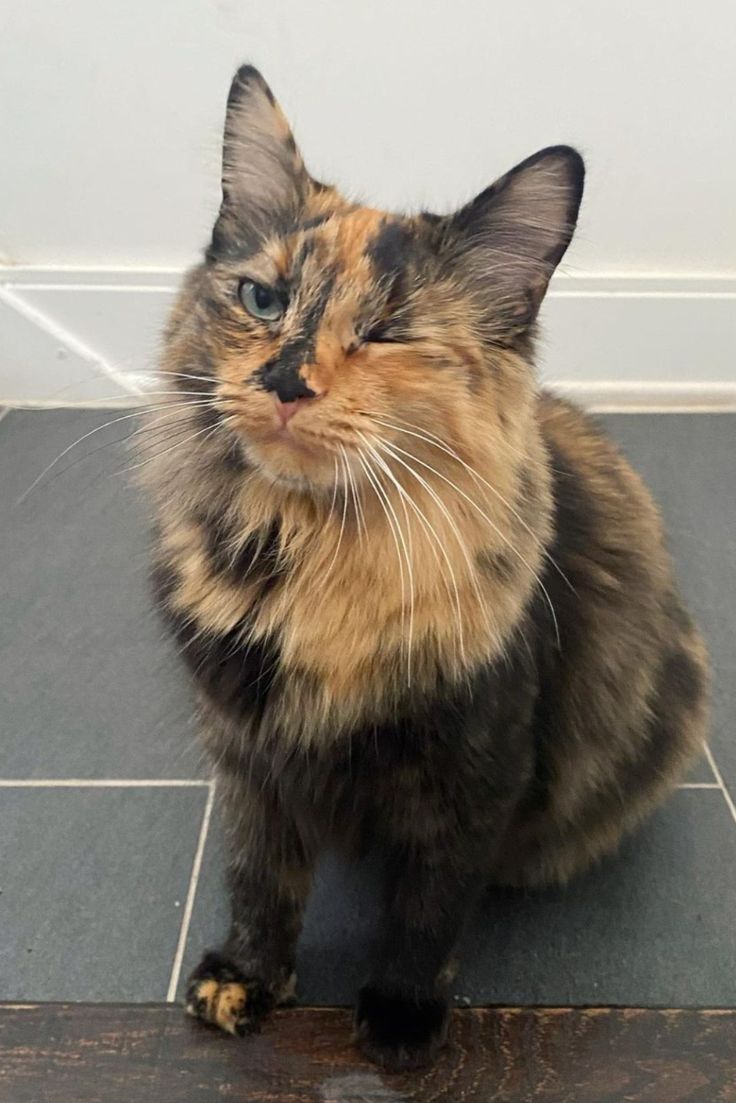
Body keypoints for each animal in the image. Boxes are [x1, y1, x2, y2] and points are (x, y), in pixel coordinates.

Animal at [141, 66, 710, 1067]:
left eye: (388, 333)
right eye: (262, 301)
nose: (284, 381)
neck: (310, 559)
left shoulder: (473, 769)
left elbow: (427, 911)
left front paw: (400, 1021)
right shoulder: (248, 755)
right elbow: (258, 878)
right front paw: (246, 978)